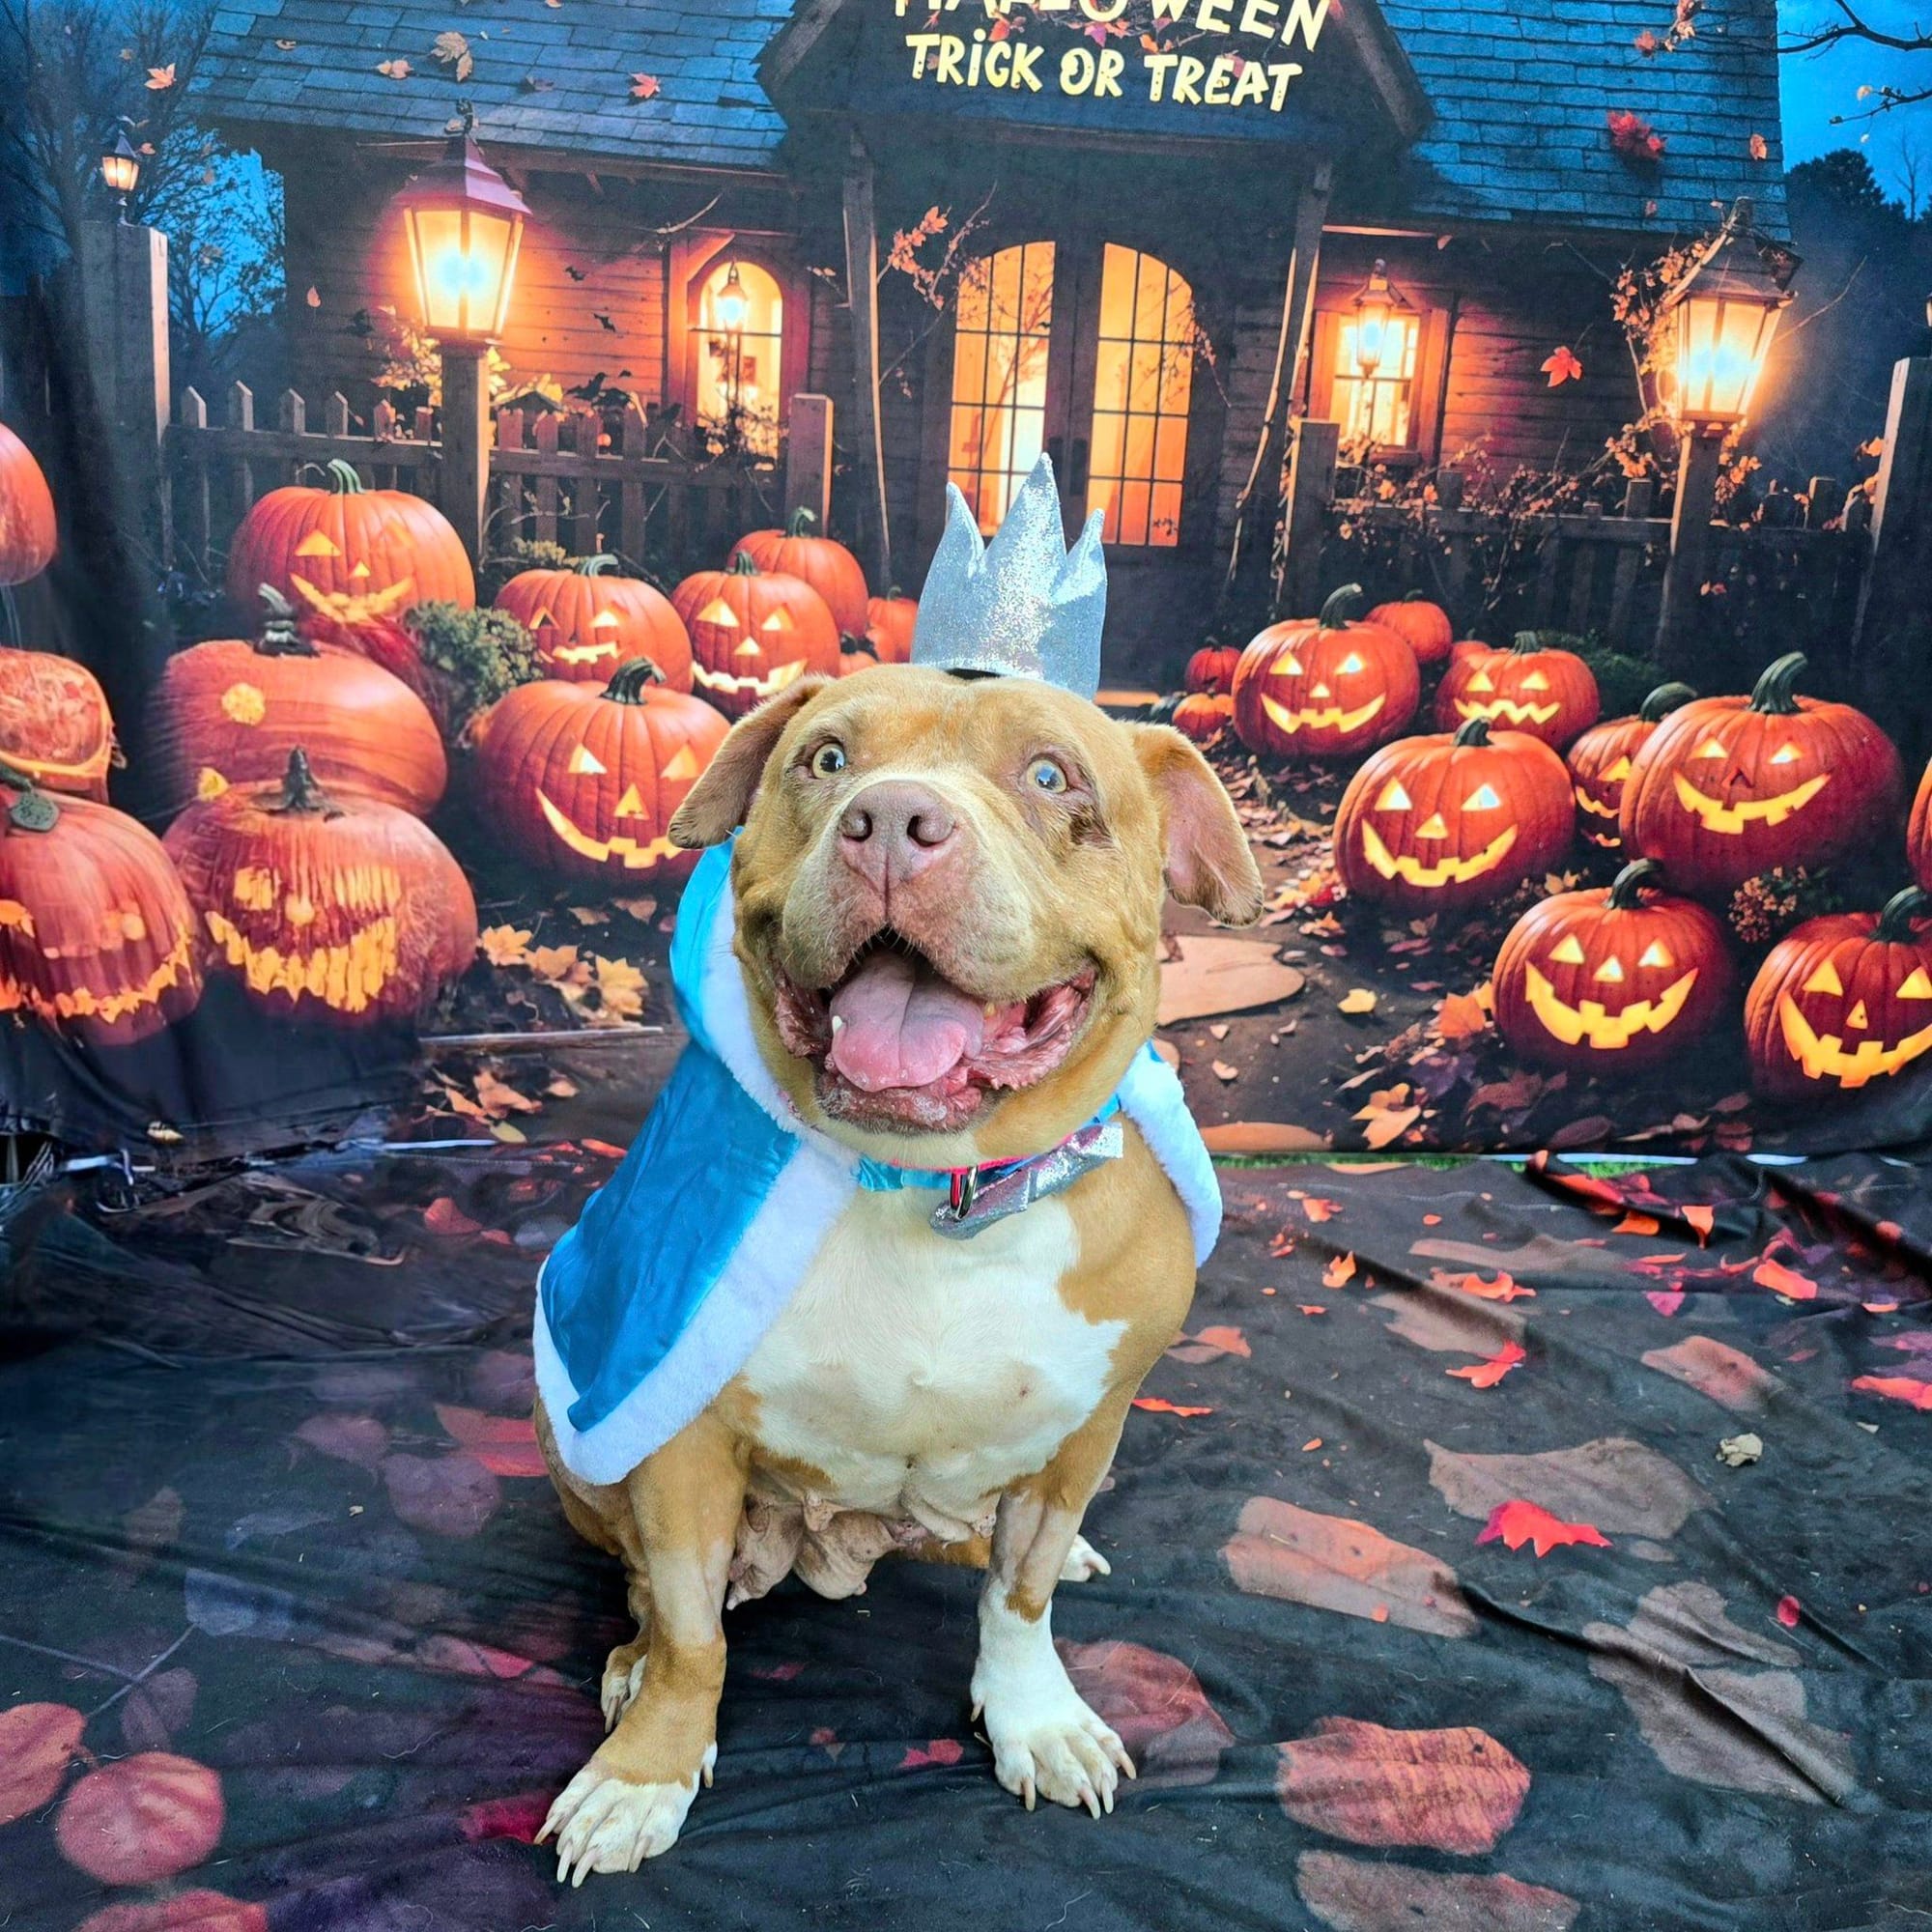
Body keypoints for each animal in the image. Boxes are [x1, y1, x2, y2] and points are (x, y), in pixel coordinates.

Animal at [537, 668, 1260, 1886]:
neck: (938, 1189)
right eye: (827, 759)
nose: (889, 822)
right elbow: (690, 1628)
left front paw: (1035, 1715)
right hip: (571, 1431)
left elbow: (1015, 1596)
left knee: (987, 1539)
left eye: (1050, 774)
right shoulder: (677, 1430)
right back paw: (632, 1658)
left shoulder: (1088, 1424)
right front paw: (645, 1767)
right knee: (644, 1571)